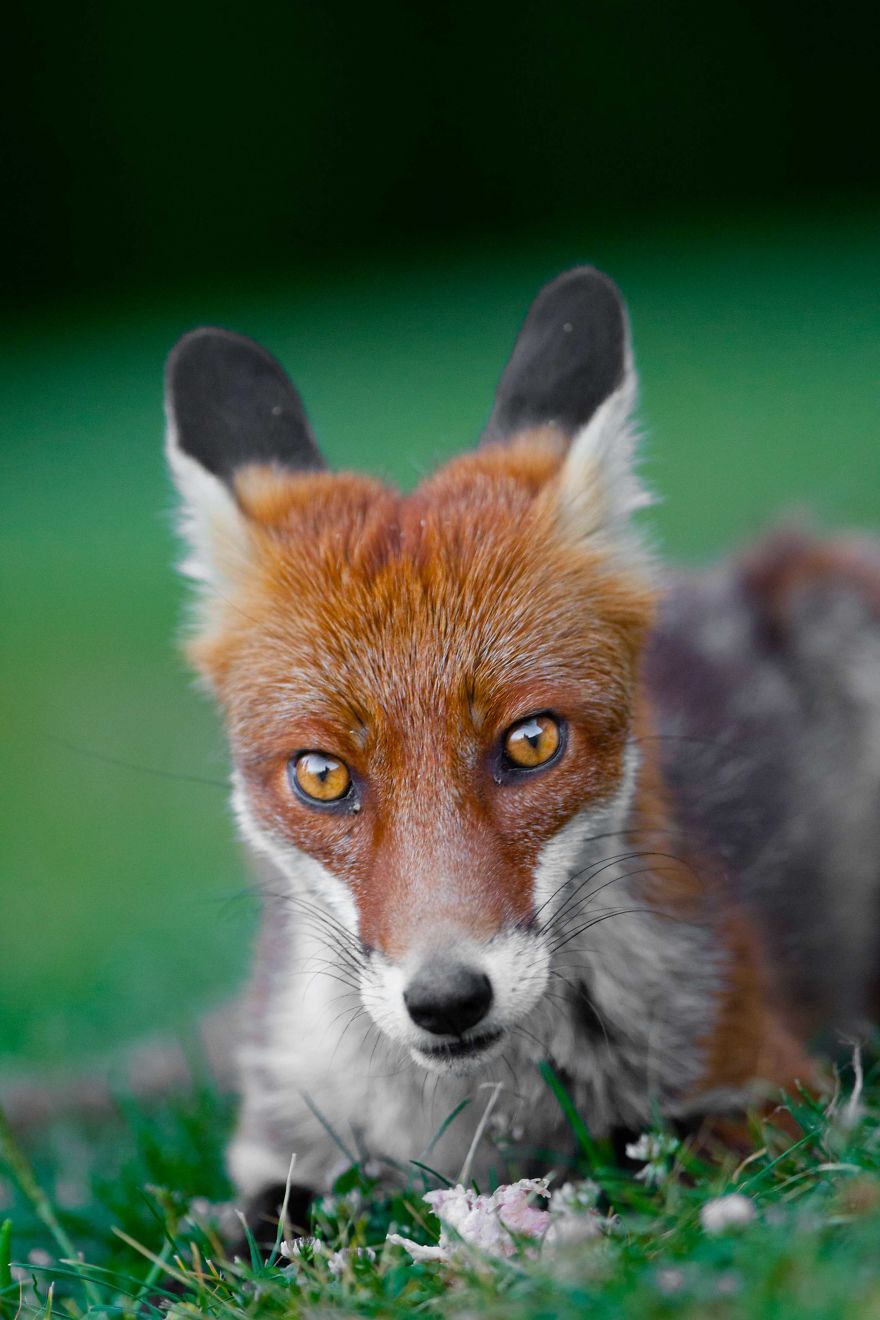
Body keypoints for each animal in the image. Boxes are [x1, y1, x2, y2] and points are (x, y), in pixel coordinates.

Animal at [162, 266, 880, 1230]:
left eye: (532, 741)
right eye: (322, 773)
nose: (446, 1001)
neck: (469, 1125)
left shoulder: (769, 1090)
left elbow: (635, 1165)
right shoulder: (277, 1153)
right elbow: (238, 1236)